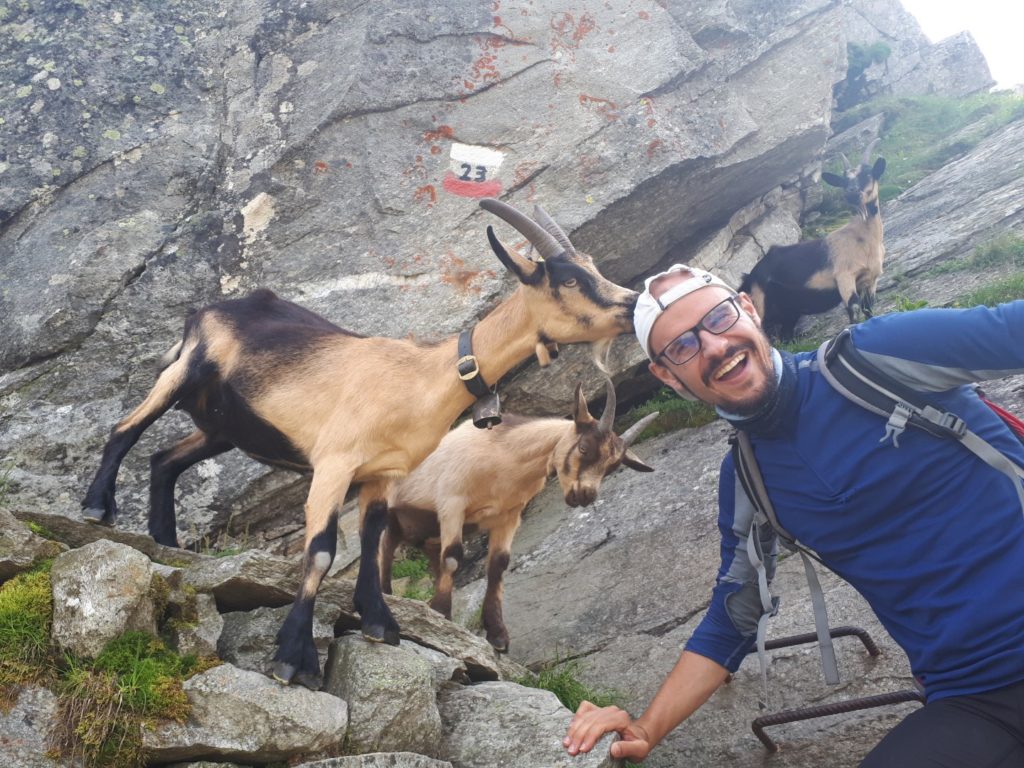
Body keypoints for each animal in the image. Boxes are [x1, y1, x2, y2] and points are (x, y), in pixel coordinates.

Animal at [380, 378, 659, 651]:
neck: (501, 459)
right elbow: (453, 558)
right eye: (583, 447)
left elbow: (497, 566)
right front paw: (440, 613)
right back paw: (386, 594)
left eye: (612, 467)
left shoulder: (509, 516)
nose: (585, 495)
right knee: (384, 550)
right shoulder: (452, 503)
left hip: (424, 529)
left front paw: (497, 634)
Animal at [737, 141, 888, 339]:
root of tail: (748, 277)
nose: (851, 193)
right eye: (843, 181)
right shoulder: (844, 277)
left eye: (868, 174)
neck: (863, 240)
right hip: (758, 300)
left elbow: (869, 310)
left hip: (789, 311)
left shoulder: (871, 280)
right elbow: (853, 310)